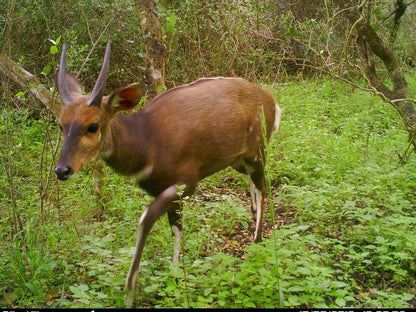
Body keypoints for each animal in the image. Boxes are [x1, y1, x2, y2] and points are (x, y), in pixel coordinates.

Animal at [53, 40, 282, 308]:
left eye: (93, 126)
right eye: (61, 125)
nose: (62, 170)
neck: (146, 143)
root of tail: (271, 100)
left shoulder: (187, 182)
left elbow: (146, 219)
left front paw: (130, 292)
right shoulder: (167, 192)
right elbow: (176, 228)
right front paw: (174, 275)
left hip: (257, 150)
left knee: (263, 184)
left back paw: (257, 239)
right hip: (238, 158)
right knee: (254, 183)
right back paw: (252, 214)